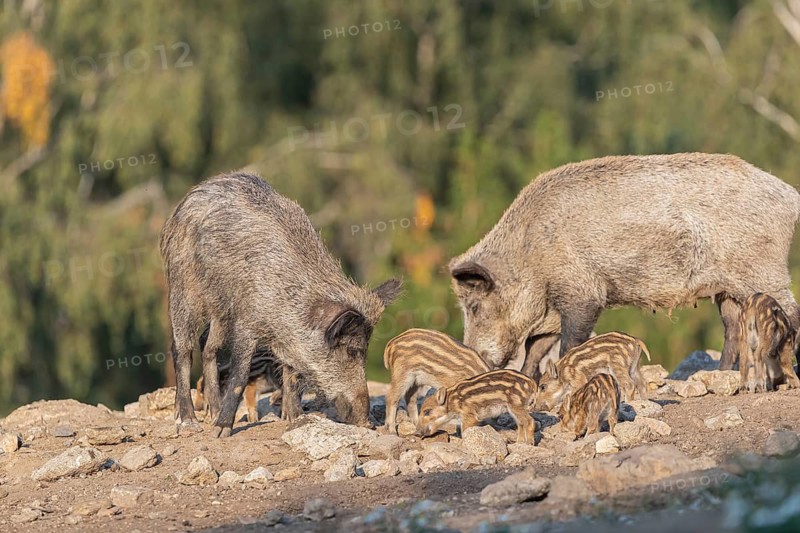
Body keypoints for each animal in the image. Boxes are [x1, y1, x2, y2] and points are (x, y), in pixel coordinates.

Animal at [160, 172, 402, 436]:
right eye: (351, 349)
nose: (367, 423)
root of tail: (193, 193)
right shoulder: (247, 321)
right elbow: (240, 375)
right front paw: (222, 431)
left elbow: (291, 374)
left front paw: (294, 418)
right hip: (183, 286)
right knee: (182, 349)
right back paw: (188, 422)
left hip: (221, 310)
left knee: (208, 346)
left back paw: (212, 414)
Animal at [448, 154, 800, 373]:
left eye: (475, 307)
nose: (475, 357)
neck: (531, 254)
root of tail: (789, 195)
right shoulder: (550, 309)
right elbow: (534, 350)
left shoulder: (584, 292)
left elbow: (568, 344)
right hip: (728, 288)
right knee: (733, 327)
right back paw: (720, 375)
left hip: (764, 271)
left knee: (790, 311)